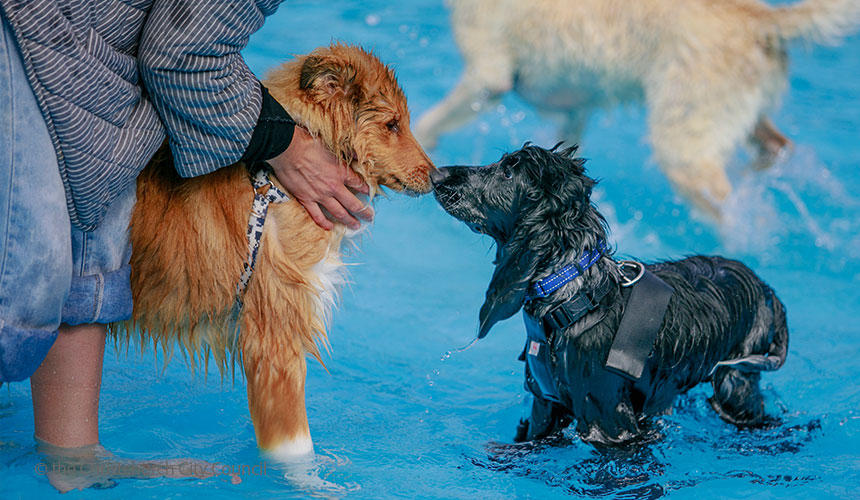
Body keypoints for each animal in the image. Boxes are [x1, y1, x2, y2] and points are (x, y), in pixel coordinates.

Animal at [416, 0, 860, 219]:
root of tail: (763, 17)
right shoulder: (575, 112)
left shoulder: (487, 79)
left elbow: (427, 122)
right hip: (736, 117)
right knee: (775, 149)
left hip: (682, 143)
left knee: (732, 210)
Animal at [434, 145, 788, 446]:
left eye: (509, 172)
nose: (437, 174)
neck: (571, 294)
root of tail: (767, 290)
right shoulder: (544, 406)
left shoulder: (609, 419)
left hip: (735, 383)